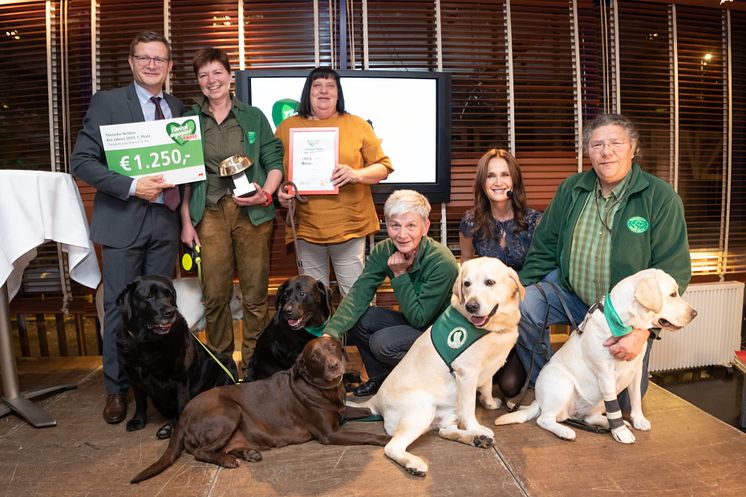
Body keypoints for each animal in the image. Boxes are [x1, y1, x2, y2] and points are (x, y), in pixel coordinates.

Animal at [115, 276, 235, 438]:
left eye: (169, 295)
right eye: (149, 297)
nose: (170, 312)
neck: (148, 343)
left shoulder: (180, 377)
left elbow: (182, 404)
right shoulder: (134, 377)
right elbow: (140, 401)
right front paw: (138, 420)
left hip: (227, 364)